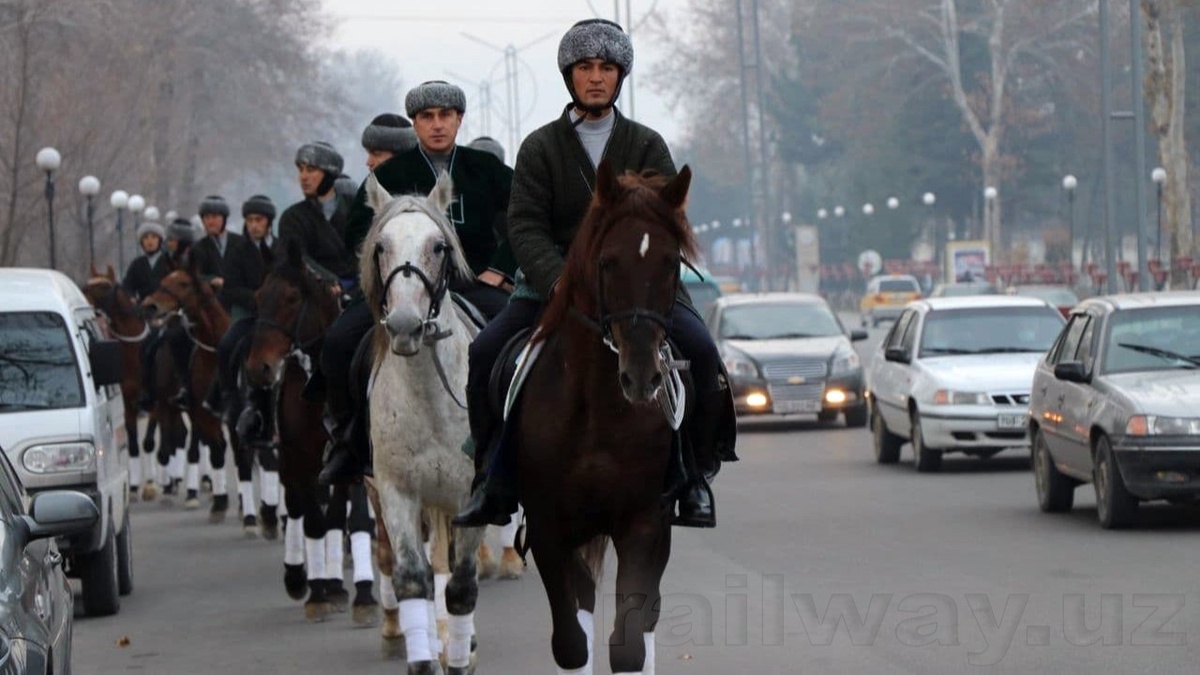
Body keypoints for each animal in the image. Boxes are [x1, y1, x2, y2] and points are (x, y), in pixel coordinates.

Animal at [139, 257, 234, 521]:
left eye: (183, 283)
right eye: (162, 280)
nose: (149, 306)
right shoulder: (198, 410)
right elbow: (214, 448)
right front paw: (218, 502)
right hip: (168, 404)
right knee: (176, 438)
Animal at [357, 170, 484, 667]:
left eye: (438, 246)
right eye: (380, 246)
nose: (405, 325)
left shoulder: (470, 496)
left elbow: (461, 584)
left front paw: (459, 652)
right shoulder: (397, 490)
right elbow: (414, 577)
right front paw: (425, 655)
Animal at [513, 163, 696, 672]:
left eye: (671, 264)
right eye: (608, 262)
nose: (643, 375)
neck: (596, 406)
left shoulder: (643, 522)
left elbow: (628, 642)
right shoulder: (548, 528)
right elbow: (572, 642)